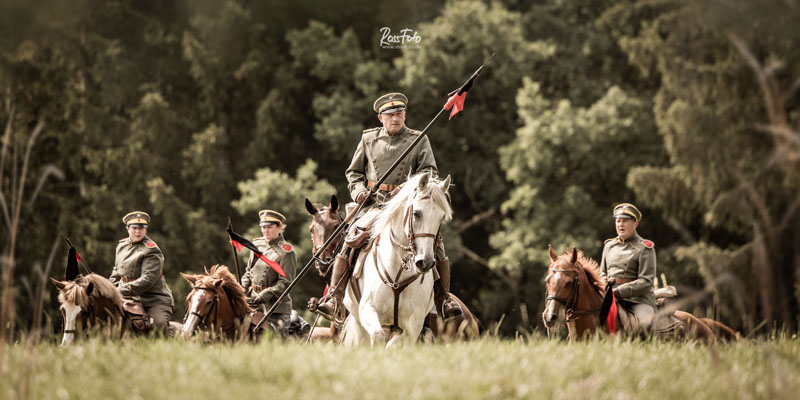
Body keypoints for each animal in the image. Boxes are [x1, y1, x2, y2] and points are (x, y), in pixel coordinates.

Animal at [340, 173, 450, 348]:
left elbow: (393, 345)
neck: (399, 273)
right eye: (417, 213)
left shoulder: (413, 327)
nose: (425, 262)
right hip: (358, 321)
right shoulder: (367, 310)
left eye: (441, 218)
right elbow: (377, 336)